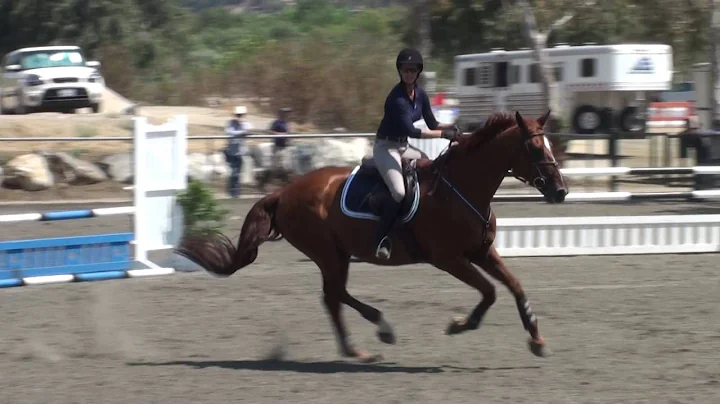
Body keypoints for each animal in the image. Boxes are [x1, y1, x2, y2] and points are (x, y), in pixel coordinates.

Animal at [176, 111, 568, 362]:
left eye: (549, 145)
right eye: (535, 149)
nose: (561, 192)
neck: (462, 188)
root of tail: (284, 192)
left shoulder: (482, 252)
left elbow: (515, 287)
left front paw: (537, 340)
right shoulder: (449, 259)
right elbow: (489, 292)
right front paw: (460, 325)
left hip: (338, 253)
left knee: (334, 296)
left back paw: (364, 343)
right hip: (327, 252)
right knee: (333, 295)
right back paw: (376, 334)